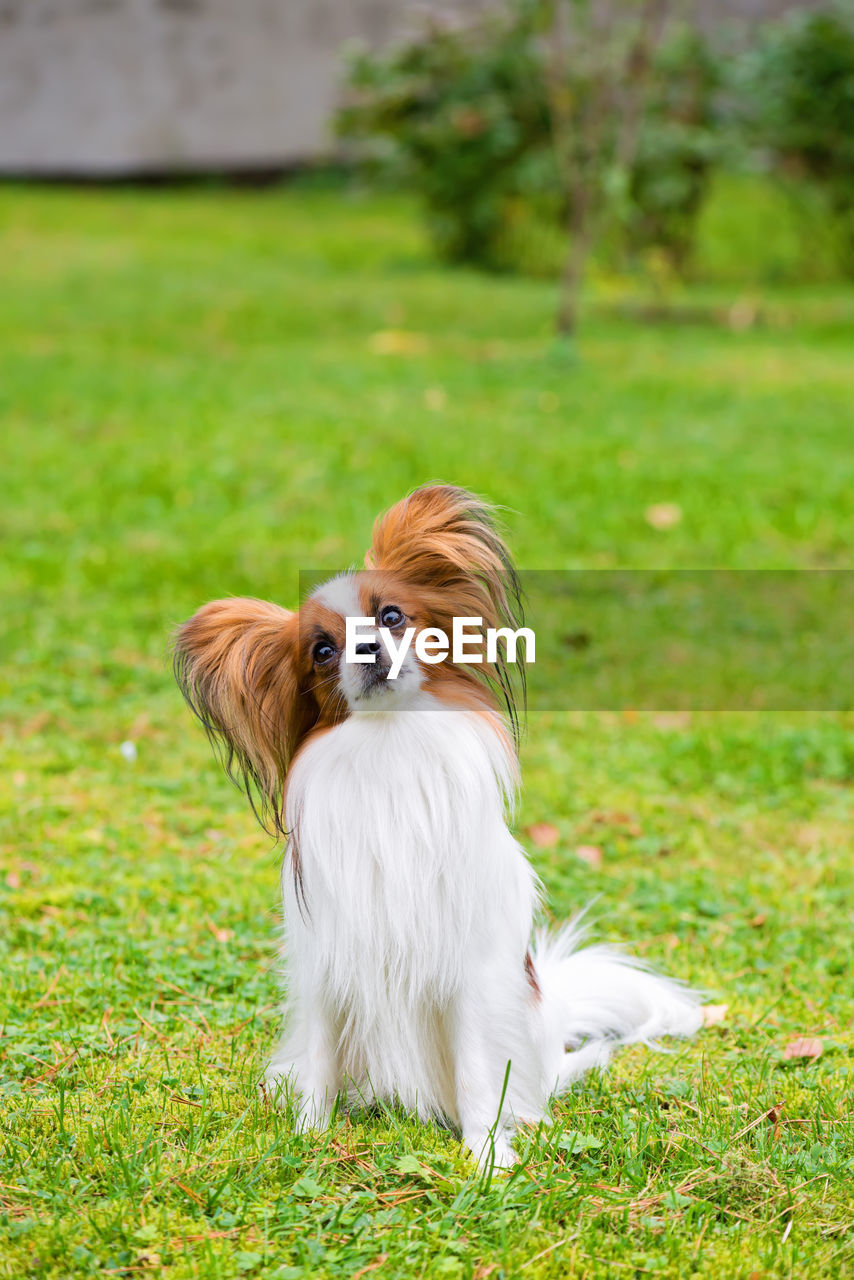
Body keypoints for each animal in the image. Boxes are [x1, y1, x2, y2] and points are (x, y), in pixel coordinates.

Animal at [174, 483, 701, 1167]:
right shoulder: (327, 964)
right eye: (322, 651)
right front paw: (307, 1138)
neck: (390, 745)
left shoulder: (470, 972)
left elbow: (478, 1072)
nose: (367, 648)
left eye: (392, 616)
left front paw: (487, 1157)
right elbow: (317, 1063)